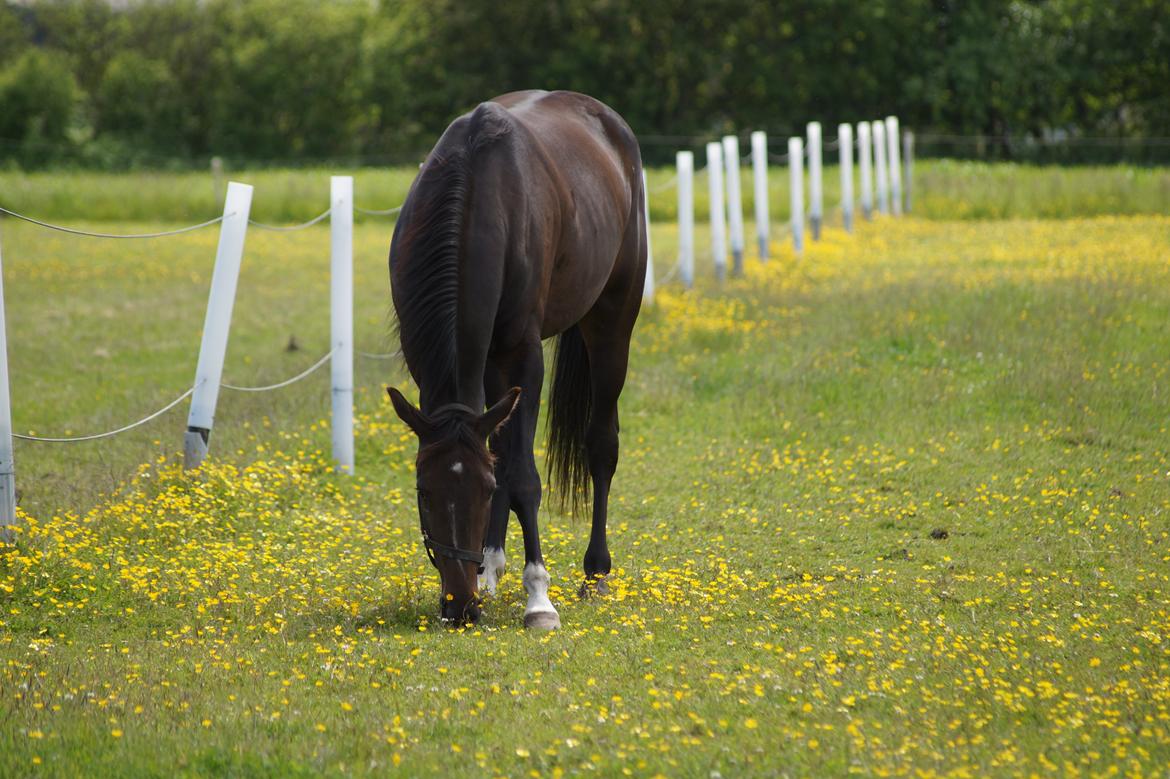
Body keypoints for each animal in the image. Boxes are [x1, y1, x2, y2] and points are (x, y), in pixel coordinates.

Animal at [386, 87, 645, 626]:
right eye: (423, 492)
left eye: (483, 492)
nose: (459, 607)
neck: (477, 198)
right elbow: (501, 455)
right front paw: (489, 571)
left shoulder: (522, 356)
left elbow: (523, 476)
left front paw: (539, 599)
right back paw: (491, 568)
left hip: (611, 322)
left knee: (601, 445)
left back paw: (595, 572)